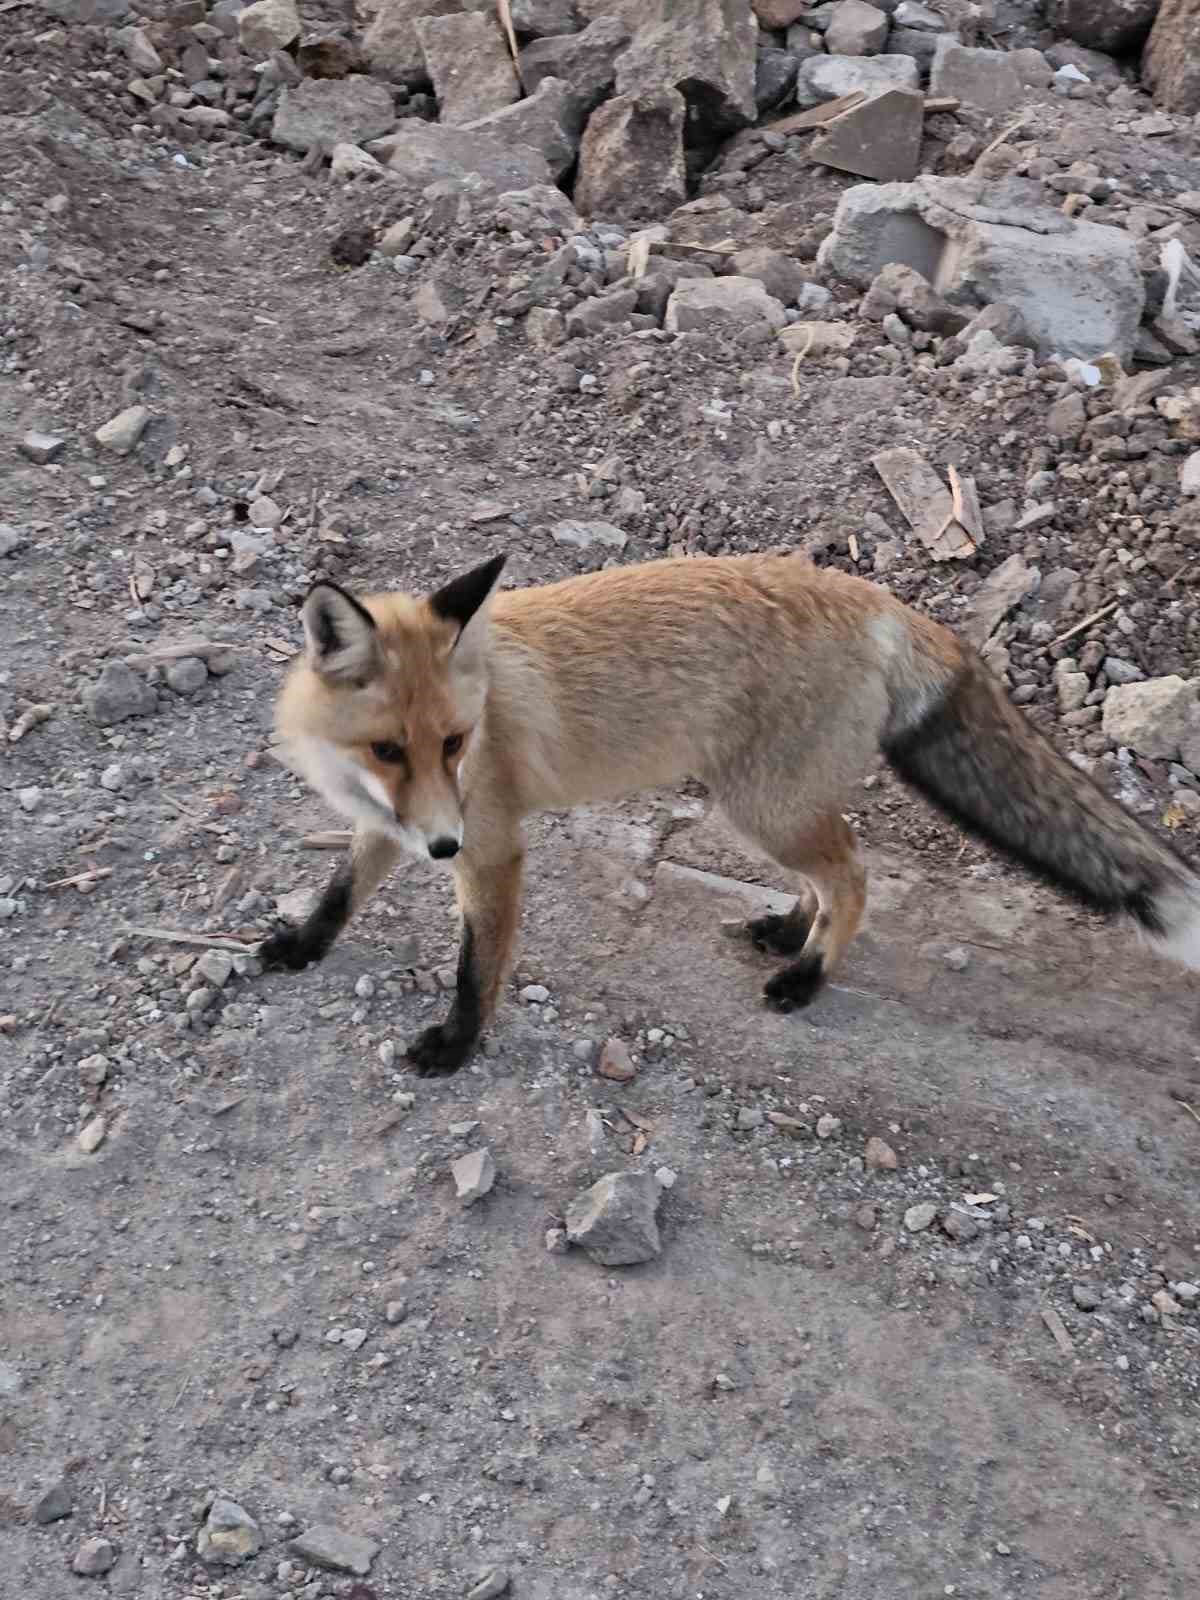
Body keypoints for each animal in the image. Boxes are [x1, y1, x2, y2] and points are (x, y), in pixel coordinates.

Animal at [262, 544, 1200, 1081]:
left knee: (856, 878)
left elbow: (473, 972)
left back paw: (807, 977)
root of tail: (887, 605)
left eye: (455, 742)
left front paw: (455, 1047)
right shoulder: (390, 824)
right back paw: (788, 933)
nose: (442, 845)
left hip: (760, 808)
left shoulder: (489, 845)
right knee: (828, 874)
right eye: (391, 750)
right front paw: (302, 947)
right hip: (771, 804)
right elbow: (340, 892)